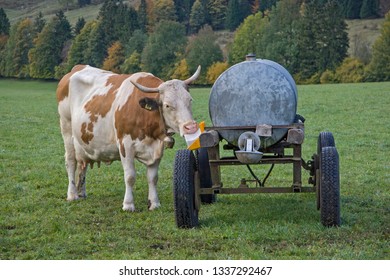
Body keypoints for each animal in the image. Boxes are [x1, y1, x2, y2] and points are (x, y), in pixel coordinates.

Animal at [56, 64, 200, 211]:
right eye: (167, 105)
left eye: (190, 100)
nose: (190, 127)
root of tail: (77, 68)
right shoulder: (125, 145)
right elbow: (130, 176)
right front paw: (128, 204)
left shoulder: (157, 148)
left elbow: (153, 178)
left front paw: (154, 203)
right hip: (66, 128)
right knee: (71, 161)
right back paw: (72, 194)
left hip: (83, 141)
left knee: (82, 164)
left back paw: (81, 193)